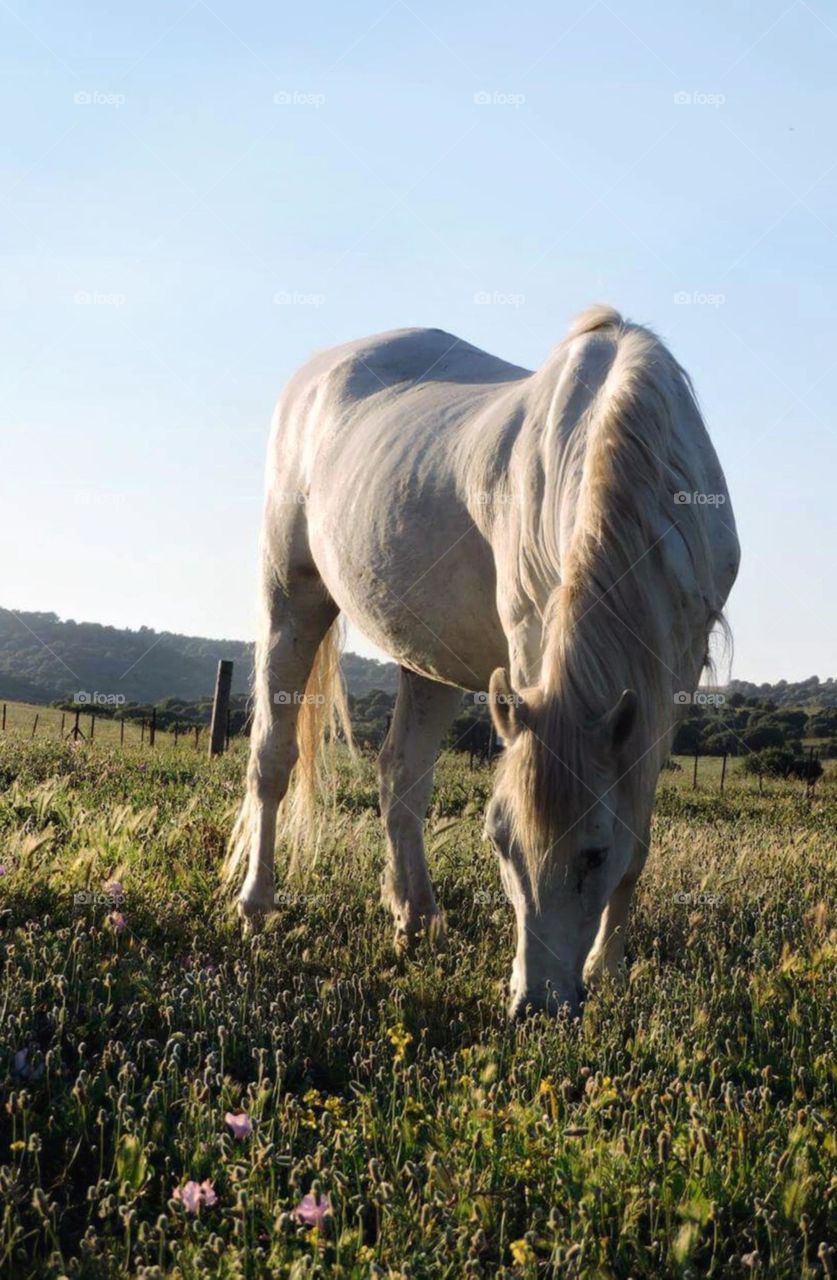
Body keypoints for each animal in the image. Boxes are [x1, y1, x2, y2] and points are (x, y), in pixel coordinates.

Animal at [225, 304, 739, 1019]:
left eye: (594, 854)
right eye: (500, 842)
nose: (538, 1006)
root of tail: (317, 374)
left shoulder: (674, 674)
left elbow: (638, 826)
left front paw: (609, 969)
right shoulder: (531, 645)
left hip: (425, 658)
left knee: (401, 776)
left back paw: (415, 917)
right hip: (291, 595)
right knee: (272, 760)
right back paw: (256, 907)